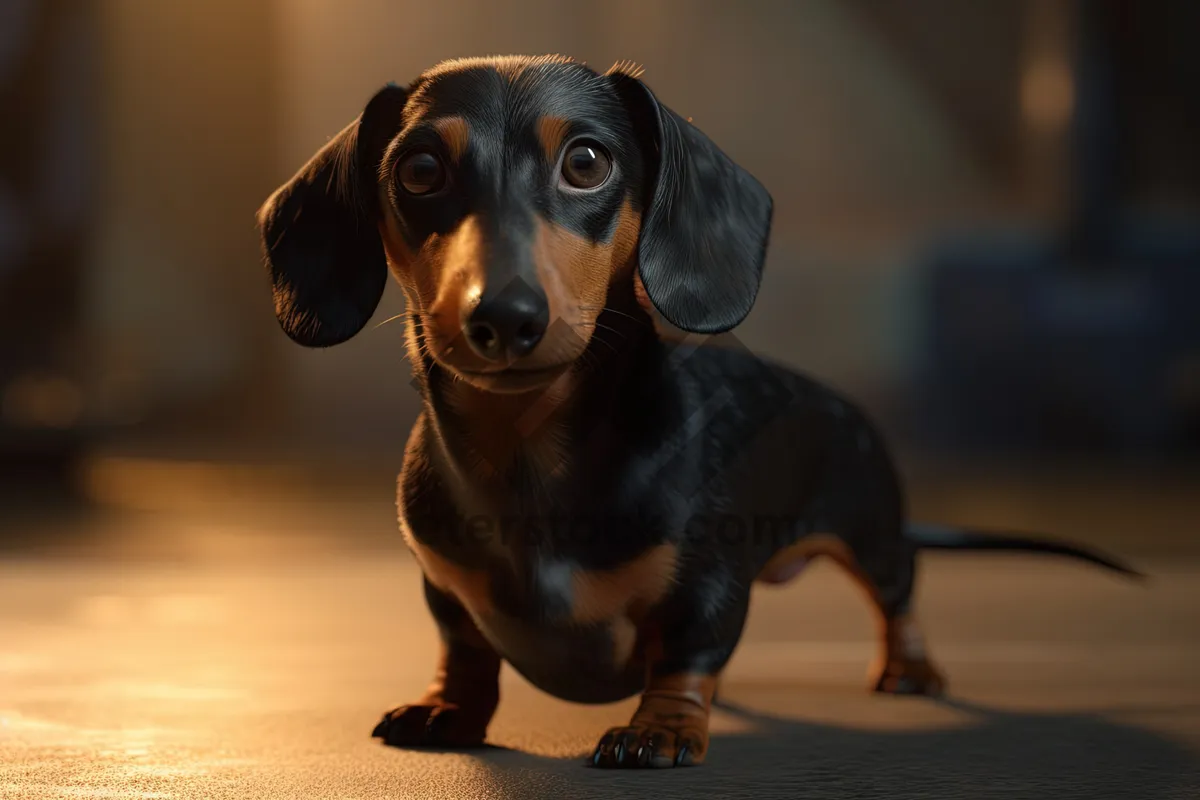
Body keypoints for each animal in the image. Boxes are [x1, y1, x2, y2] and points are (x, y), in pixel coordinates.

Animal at [258, 54, 1137, 767]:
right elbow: (467, 652)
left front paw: (661, 728)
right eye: (418, 170)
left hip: (870, 527)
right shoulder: (446, 589)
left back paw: (908, 666)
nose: (503, 318)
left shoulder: (706, 583)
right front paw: (448, 710)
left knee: (900, 592)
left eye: (586, 161)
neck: (528, 454)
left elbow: (686, 653)